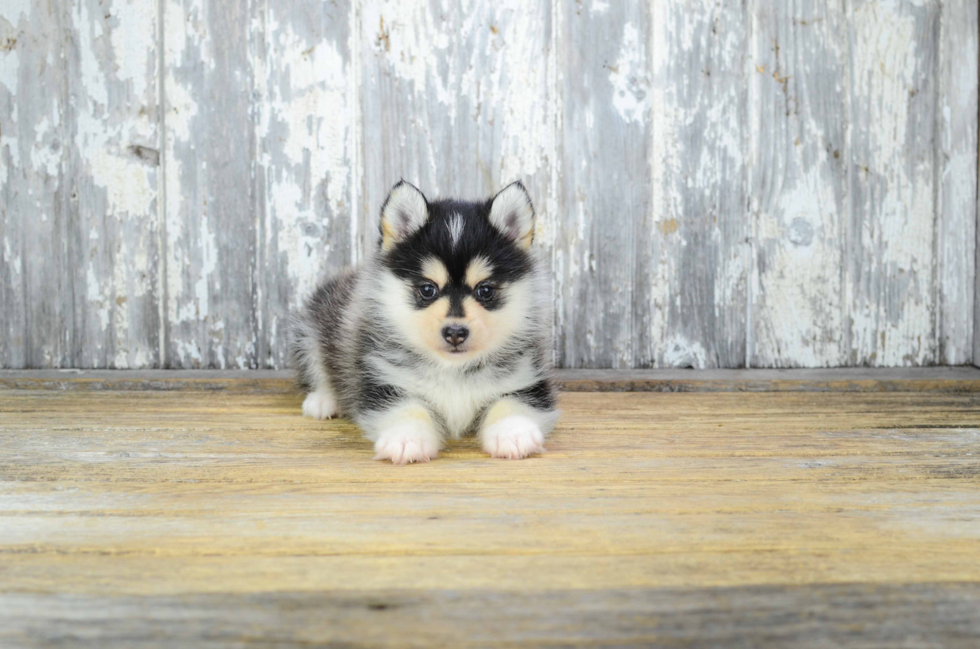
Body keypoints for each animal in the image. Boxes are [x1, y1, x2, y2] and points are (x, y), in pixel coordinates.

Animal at [290, 180, 560, 464]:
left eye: (485, 291)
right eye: (428, 289)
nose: (455, 332)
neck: (454, 370)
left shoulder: (527, 379)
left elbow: (510, 403)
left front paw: (514, 433)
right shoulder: (384, 380)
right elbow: (407, 408)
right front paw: (406, 438)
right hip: (311, 328)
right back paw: (323, 400)